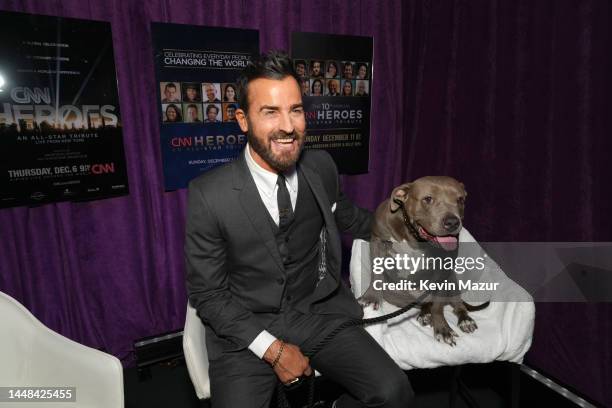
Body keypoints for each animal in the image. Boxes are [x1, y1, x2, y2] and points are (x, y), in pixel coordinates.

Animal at [358, 177, 488, 346]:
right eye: (428, 199)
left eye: (460, 199)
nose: (453, 222)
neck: (413, 235)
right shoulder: (378, 240)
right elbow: (377, 272)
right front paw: (371, 296)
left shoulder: (444, 268)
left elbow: (438, 306)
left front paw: (443, 329)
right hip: (396, 296)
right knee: (424, 303)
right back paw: (425, 313)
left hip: (452, 282)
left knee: (455, 304)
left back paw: (464, 319)